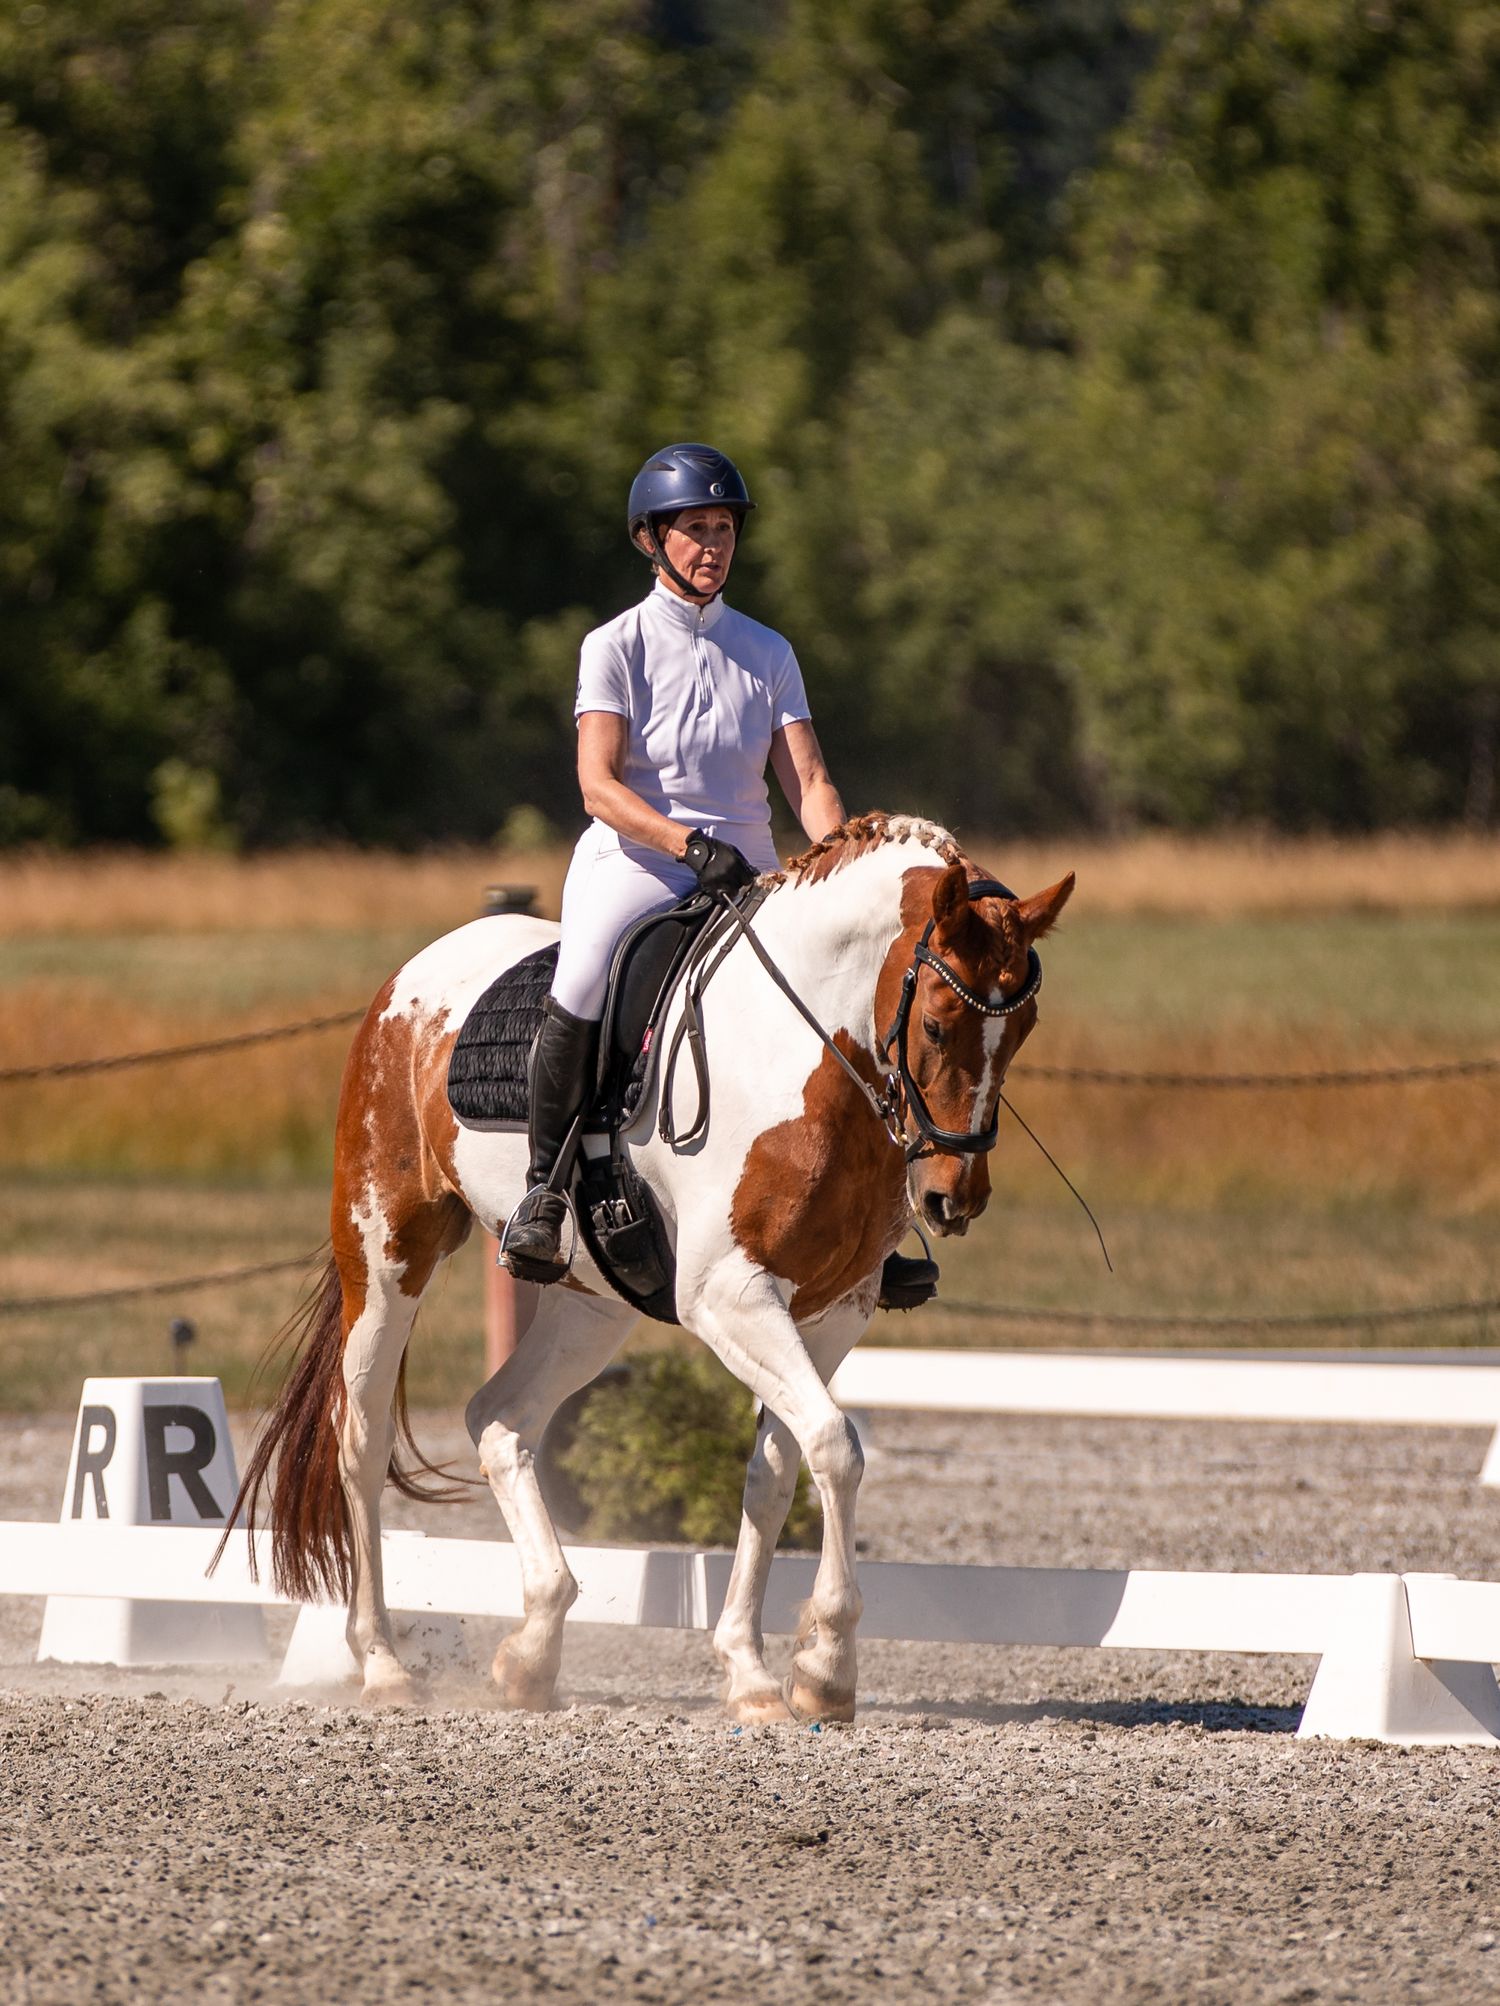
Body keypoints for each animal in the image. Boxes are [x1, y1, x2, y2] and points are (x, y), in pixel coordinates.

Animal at [231, 813, 1073, 1720]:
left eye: (1023, 1032)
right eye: (938, 1025)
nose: (955, 1198)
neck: (803, 1053)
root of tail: (413, 974)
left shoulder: (830, 1310)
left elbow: (778, 1470)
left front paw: (761, 1669)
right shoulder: (727, 1297)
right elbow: (835, 1446)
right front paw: (825, 1665)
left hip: (589, 1303)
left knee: (501, 1418)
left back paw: (532, 1651)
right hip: (388, 1251)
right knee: (362, 1436)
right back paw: (384, 1663)